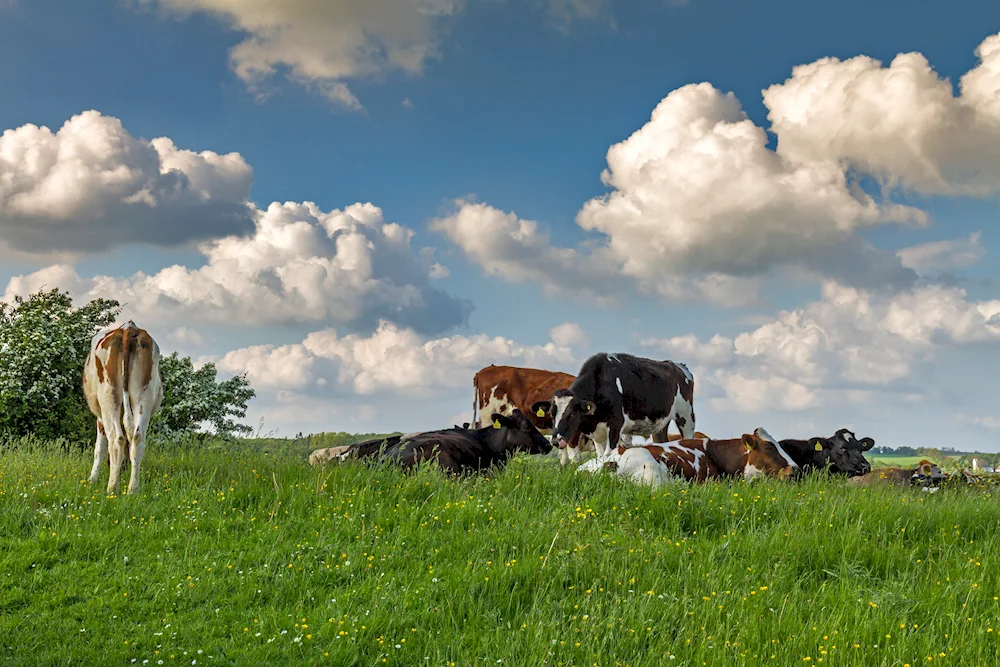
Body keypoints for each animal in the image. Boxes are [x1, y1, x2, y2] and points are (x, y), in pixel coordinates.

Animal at [84, 324, 164, 496]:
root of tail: (129, 328)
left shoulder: (100, 417)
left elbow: (100, 448)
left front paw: (92, 479)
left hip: (109, 397)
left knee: (117, 438)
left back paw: (112, 488)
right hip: (143, 398)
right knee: (137, 438)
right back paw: (133, 489)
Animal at [532, 354, 696, 464]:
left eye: (572, 414)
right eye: (552, 414)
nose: (556, 440)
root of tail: (679, 365)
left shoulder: (616, 426)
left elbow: (609, 453)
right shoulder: (596, 432)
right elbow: (600, 456)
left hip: (686, 415)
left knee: (688, 437)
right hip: (661, 423)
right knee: (662, 441)